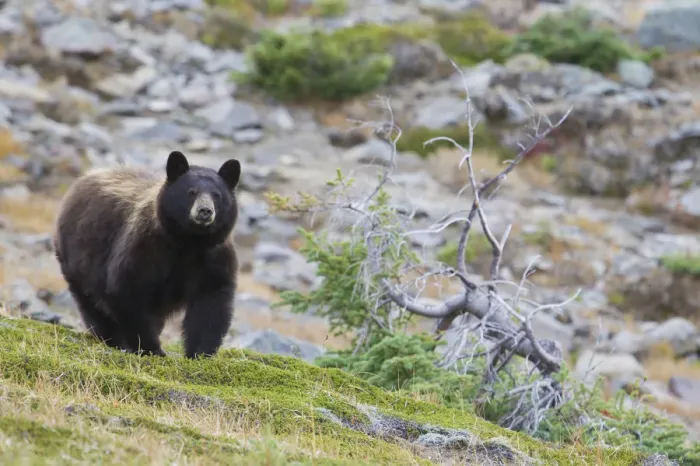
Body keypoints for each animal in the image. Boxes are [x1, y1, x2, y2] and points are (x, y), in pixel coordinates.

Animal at [53, 150, 241, 359]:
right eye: (191, 192)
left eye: (217, 195)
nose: (205, 211)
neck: (188, 242)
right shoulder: (147, 246)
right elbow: (128, 289)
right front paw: (151, 348)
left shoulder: (213, 257)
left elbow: (211, 301)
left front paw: (199, 352)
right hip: (79, 257)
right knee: (92, 302)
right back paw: (112, 338)